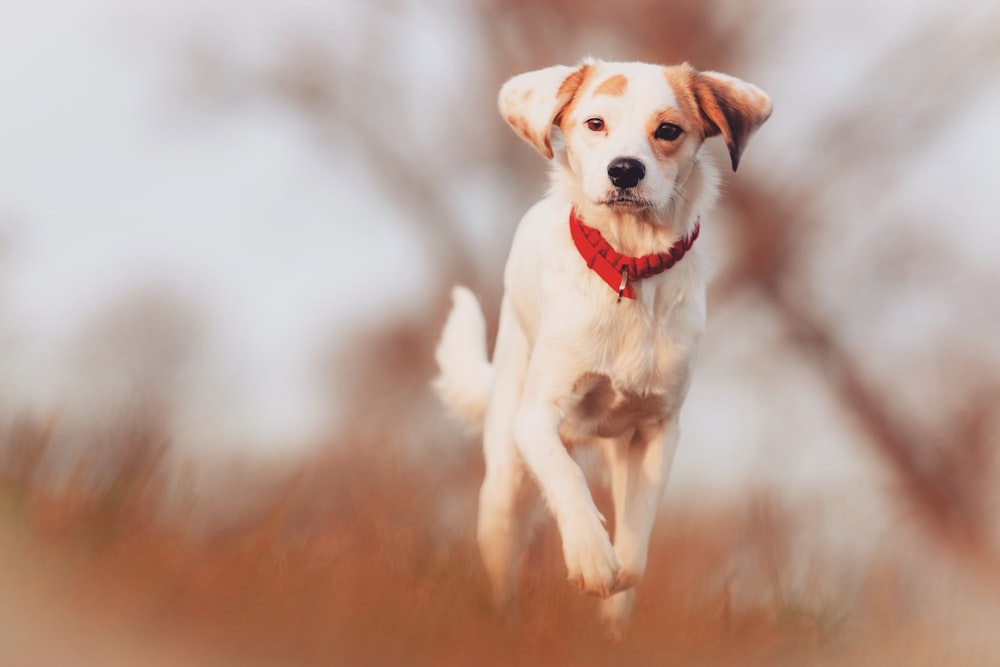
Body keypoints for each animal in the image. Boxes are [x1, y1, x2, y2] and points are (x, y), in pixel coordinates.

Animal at [434, 60, 768, 636]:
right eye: (595, 123)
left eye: (668, 130)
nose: (625, 171)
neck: (629, 265)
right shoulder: (536, 416)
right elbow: (566, 476)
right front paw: (591, 558)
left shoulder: (658, 429)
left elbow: (637, 533)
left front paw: (619, 573)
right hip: (503, 484)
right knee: (504, 566)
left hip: (617, 450)